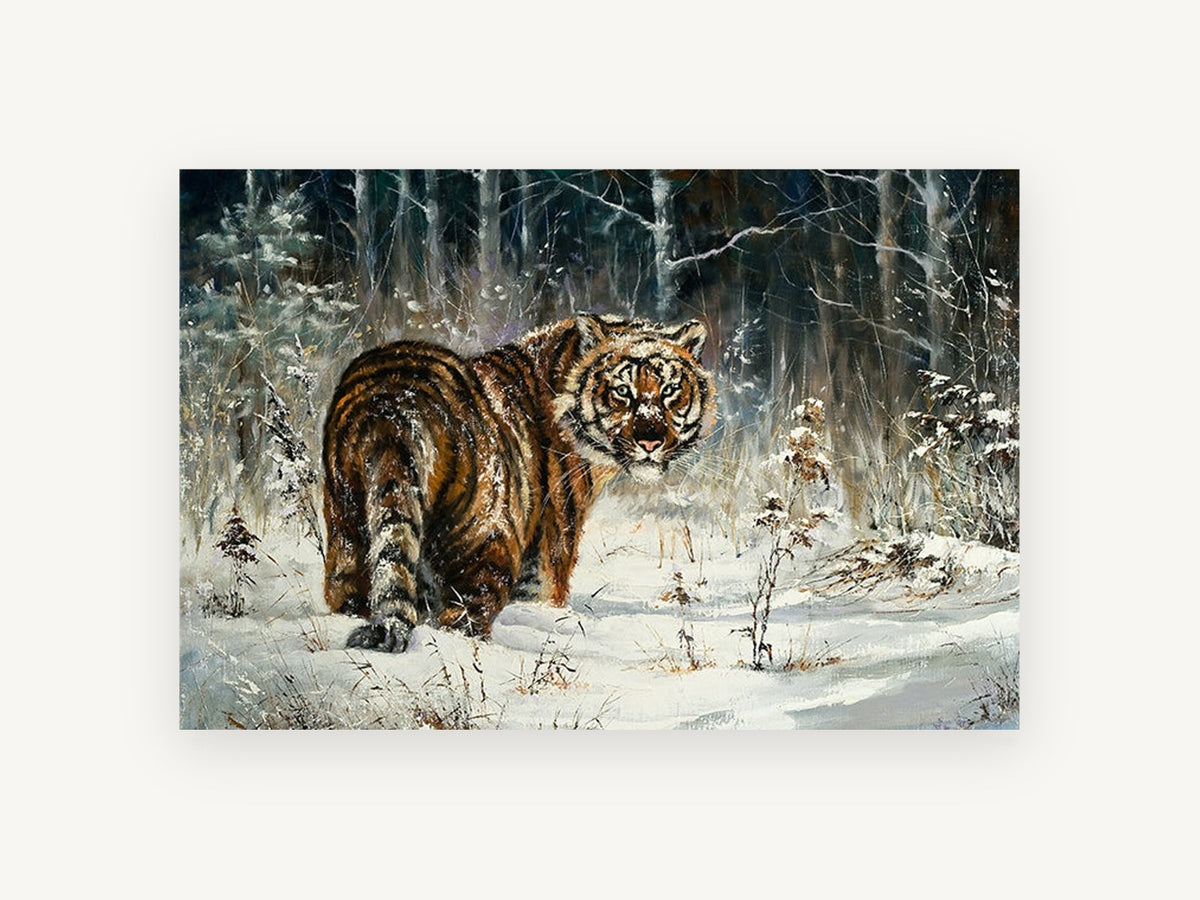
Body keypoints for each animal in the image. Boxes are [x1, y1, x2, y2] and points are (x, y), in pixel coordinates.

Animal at [322, 313, 716, 652]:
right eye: (622, 390)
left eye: (670, 389)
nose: (650, 441)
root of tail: (393, 399)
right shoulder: (548, 553)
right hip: (485, 543)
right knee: (463, 618)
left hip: (348, 532)